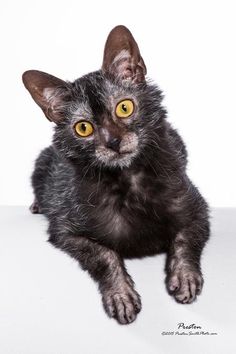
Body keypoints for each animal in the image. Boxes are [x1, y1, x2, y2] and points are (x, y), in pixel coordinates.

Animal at [22, 24, 210, 324]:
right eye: (83, 128)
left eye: (124, 107)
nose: (113, 142)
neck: (129, 181)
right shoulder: (65, 231)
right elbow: (104, 254)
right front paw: (121, 296)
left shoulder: (198, 209)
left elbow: (185, 239)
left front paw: (185, 277)